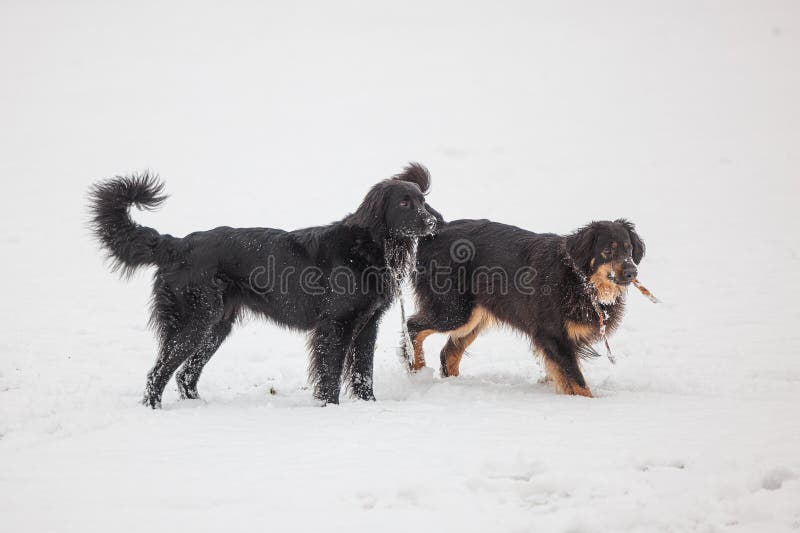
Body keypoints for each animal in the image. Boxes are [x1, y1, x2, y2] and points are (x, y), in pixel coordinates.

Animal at [90, 163, 440, 408]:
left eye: (422, 201)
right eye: (404, 203)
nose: (432, 222)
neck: (367, 245)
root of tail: (178, 245)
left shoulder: (367, 325)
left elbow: (362, 373)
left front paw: (369, 406)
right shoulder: (335, 326)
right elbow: (330, 373)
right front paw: (330, 408)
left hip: (214, 328)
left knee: (184, 374)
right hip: (193, 322)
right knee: (158, 372)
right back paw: (155, 411)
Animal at [406, 218, 644, 396]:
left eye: (629, 249)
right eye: (607, 251)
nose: (632, 272)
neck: (578, 279)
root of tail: (438, 228)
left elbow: (562, 375)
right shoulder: (554, 335)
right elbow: (577, 381)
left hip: (474, 316)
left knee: (449, 353)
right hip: (454, 311)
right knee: (413, 327)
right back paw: (417, 369)